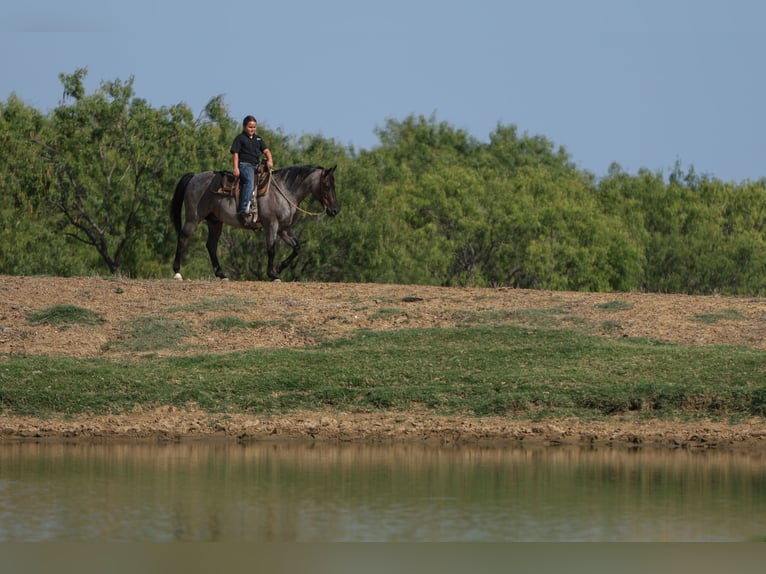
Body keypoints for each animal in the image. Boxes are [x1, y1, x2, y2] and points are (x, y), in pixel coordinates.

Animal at [171, 164, 340, 282]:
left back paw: (222, 274)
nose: (334, 210)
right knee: (183, 237)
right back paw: (177, 272)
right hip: (193, 218)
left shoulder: (284, 228)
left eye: (334, 186)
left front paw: (279, 268)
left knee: (211, 245)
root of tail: (194, 177)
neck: (285, 191)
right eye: (326, 186)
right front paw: (272, 274)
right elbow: (271, 249)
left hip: (215, 222)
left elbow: (297, 247)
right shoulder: (271, 225)